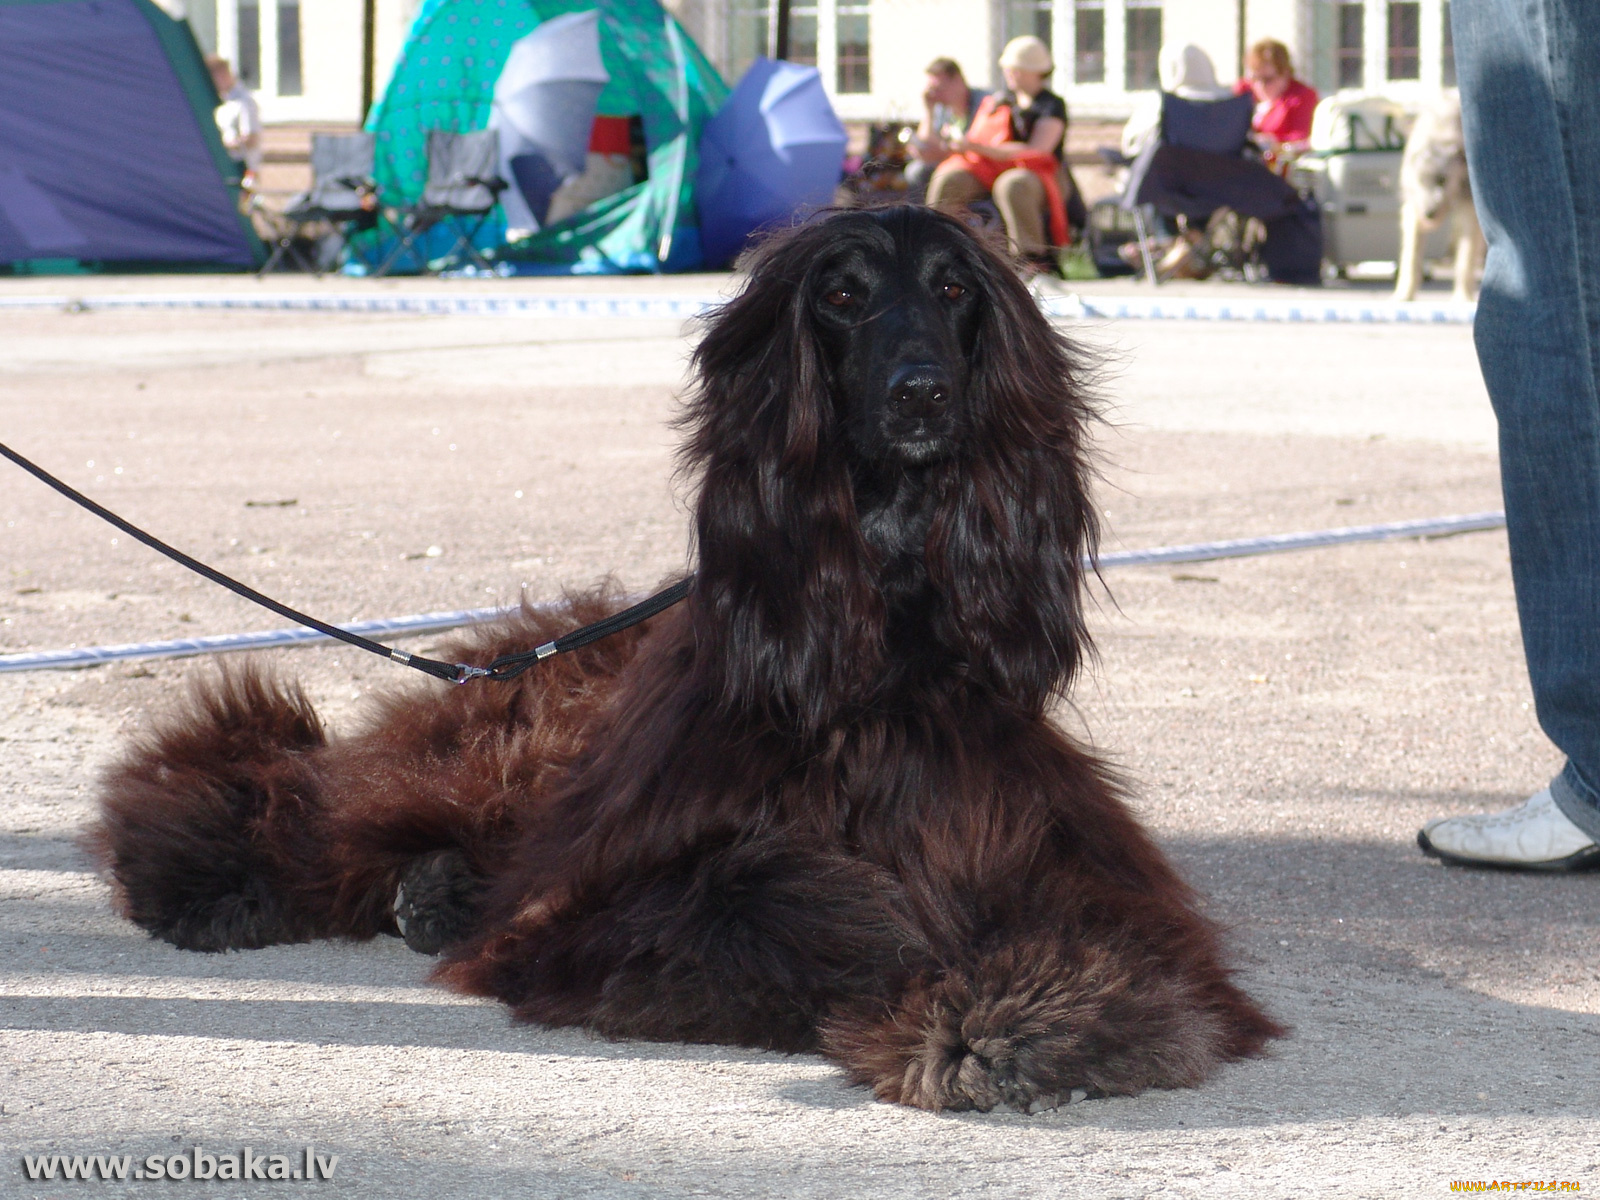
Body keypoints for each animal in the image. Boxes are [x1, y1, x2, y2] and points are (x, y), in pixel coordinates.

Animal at [1401, 92, 1484, 302]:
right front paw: (1403, 296)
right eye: (1421, 181)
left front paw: (1463, 297)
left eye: (1442, 180)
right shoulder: (1413, 208)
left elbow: (1465, 258)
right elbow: (1410, 256)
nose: (1429, 214)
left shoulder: (1469, 210)